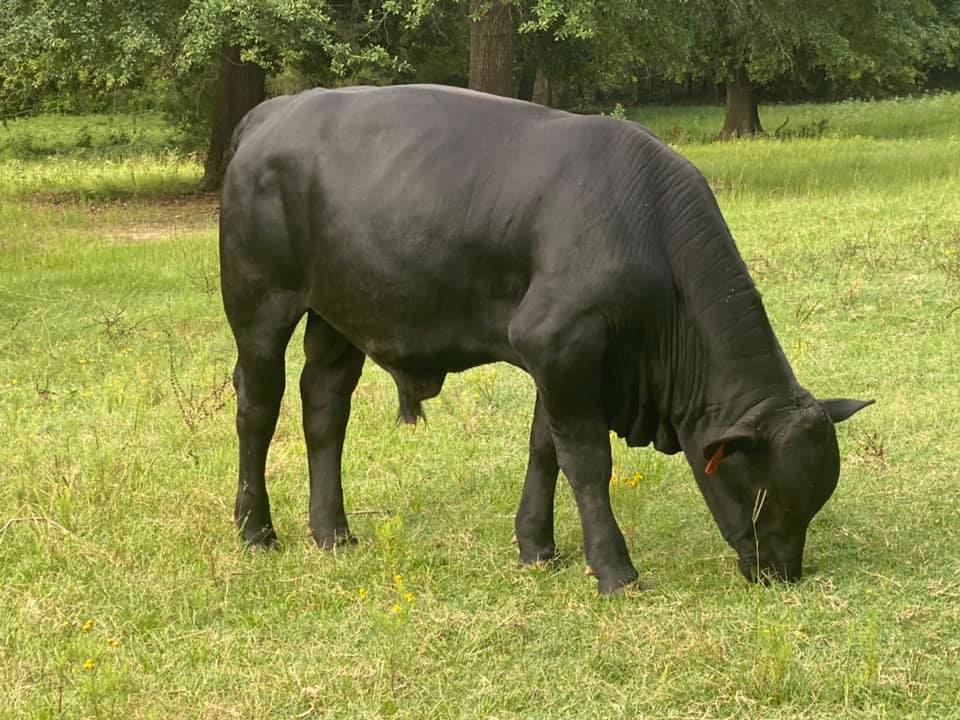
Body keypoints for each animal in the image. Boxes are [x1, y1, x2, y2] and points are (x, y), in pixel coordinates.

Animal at [219, 84, 872, 595]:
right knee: (257, 409)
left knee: (324, 409)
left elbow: (545, 450)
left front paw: (536, 546)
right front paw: (614, 570)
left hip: (337, 316)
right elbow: (586, 462)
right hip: (258, 305)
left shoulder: (564, 359)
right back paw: (256, 529)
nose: (782, 572)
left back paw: (332, 531)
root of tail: (276, 110)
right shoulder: (560, 343)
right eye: (771, 496)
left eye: (815, 499)